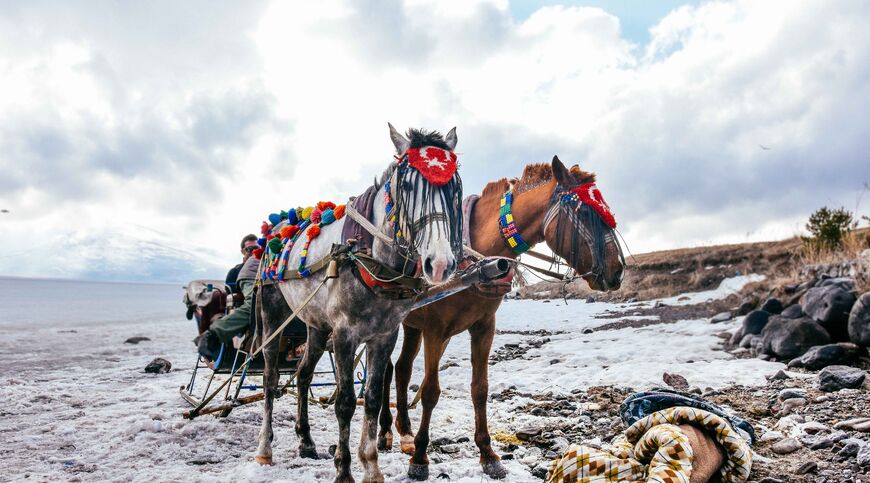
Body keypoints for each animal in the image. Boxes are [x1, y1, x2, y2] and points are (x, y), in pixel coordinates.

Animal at [258, 125, 466, 483]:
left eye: (454, 186)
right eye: (407, 185)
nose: (439, 264)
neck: (368, 257)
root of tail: (277, 228)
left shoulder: (385, 335)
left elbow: (370, 399)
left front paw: (370, 466)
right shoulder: (345, 334)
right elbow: (344, 403)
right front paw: (344, 470)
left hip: (315, 324)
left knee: (302, 374)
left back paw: (306, 440)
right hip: (272, 316)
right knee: (270, 379)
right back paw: (264, 447)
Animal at [378, 156, 624, 480]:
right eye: (584, 211)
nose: (618, 270)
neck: (476, 263)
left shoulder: (484, 327)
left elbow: (480, 389)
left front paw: (488, 454)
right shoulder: (435, 331)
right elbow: (431, 391)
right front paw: (420, 458)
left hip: (411, 327)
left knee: (402, 369)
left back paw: (404, 431)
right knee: (383, 370)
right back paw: (384, 432)